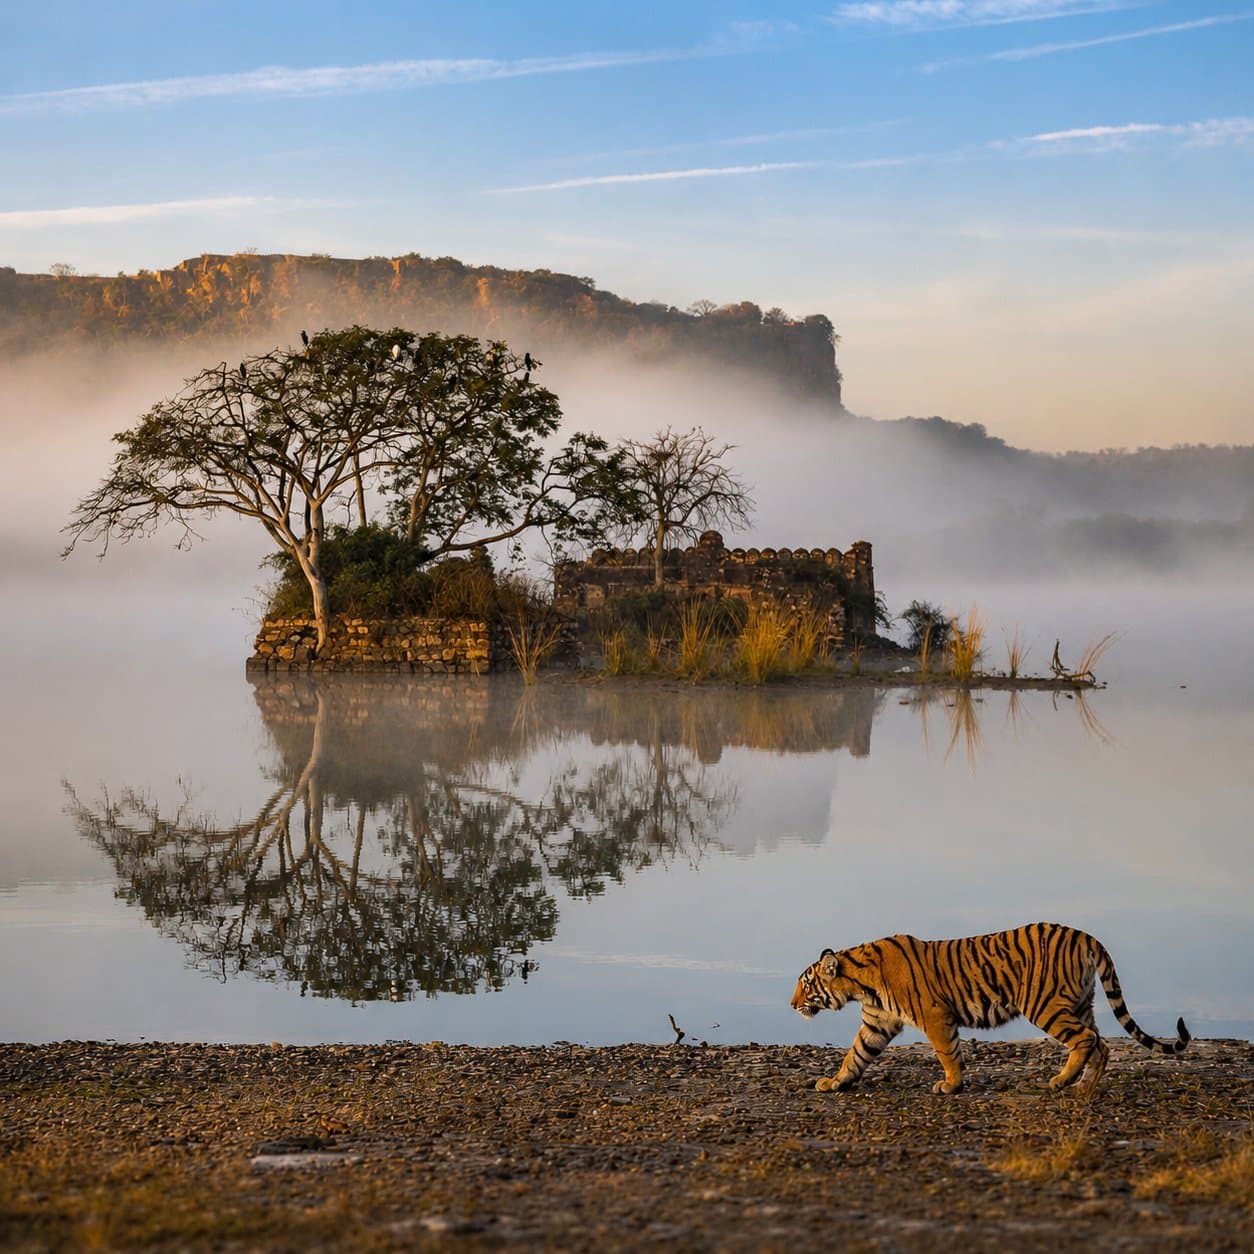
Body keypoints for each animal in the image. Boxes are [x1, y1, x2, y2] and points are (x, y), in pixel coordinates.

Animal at [790, 922, 1190, 1096]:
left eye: (806, 984)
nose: (792, 1004)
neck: (860, 985)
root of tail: (1086, 936)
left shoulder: (935, 1016)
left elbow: (947, 1052)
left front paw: (951, 1085)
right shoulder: (877, 1023)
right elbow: (855, 1055)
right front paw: (834, 1082)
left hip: (1044, 1005)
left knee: (1086, 1039)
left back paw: (1061, 1081)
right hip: (1079, 1003)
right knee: (1101, 1044)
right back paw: (1084, 1086)